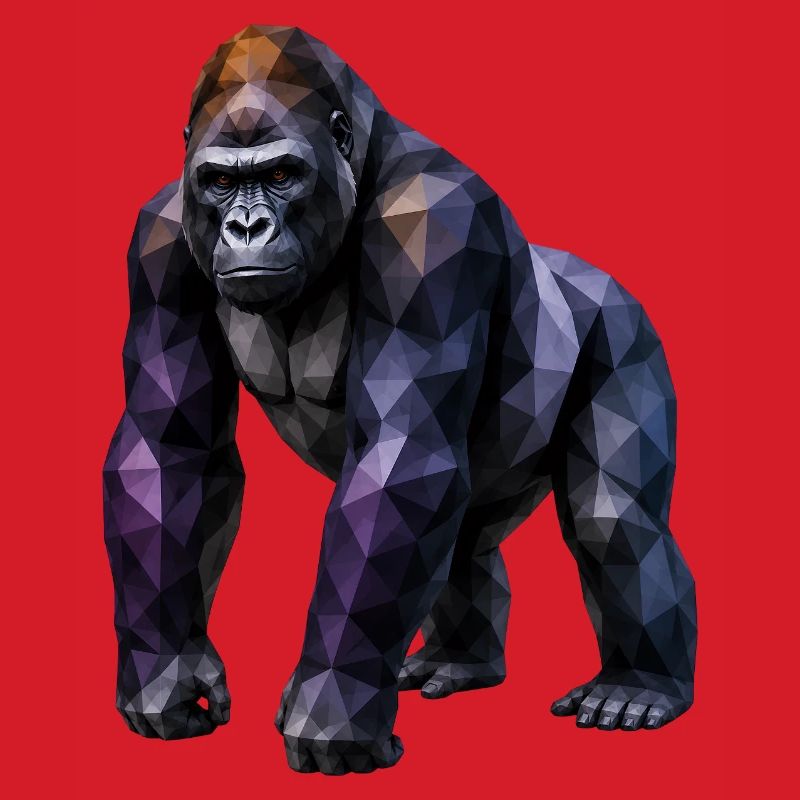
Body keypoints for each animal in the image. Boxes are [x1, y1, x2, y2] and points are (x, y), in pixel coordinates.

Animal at [103, 25, 697, 775]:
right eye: (220, 181)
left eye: (280, 175)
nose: (245, 228)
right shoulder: (156, 241)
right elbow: (168, 452)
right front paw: (167, 674)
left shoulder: (434, 224)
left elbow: (402, 457)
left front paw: (332, 712)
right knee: (467, 536)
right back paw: (460, 660)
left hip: (626, 328)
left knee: (612, 517)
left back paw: (641, 686)